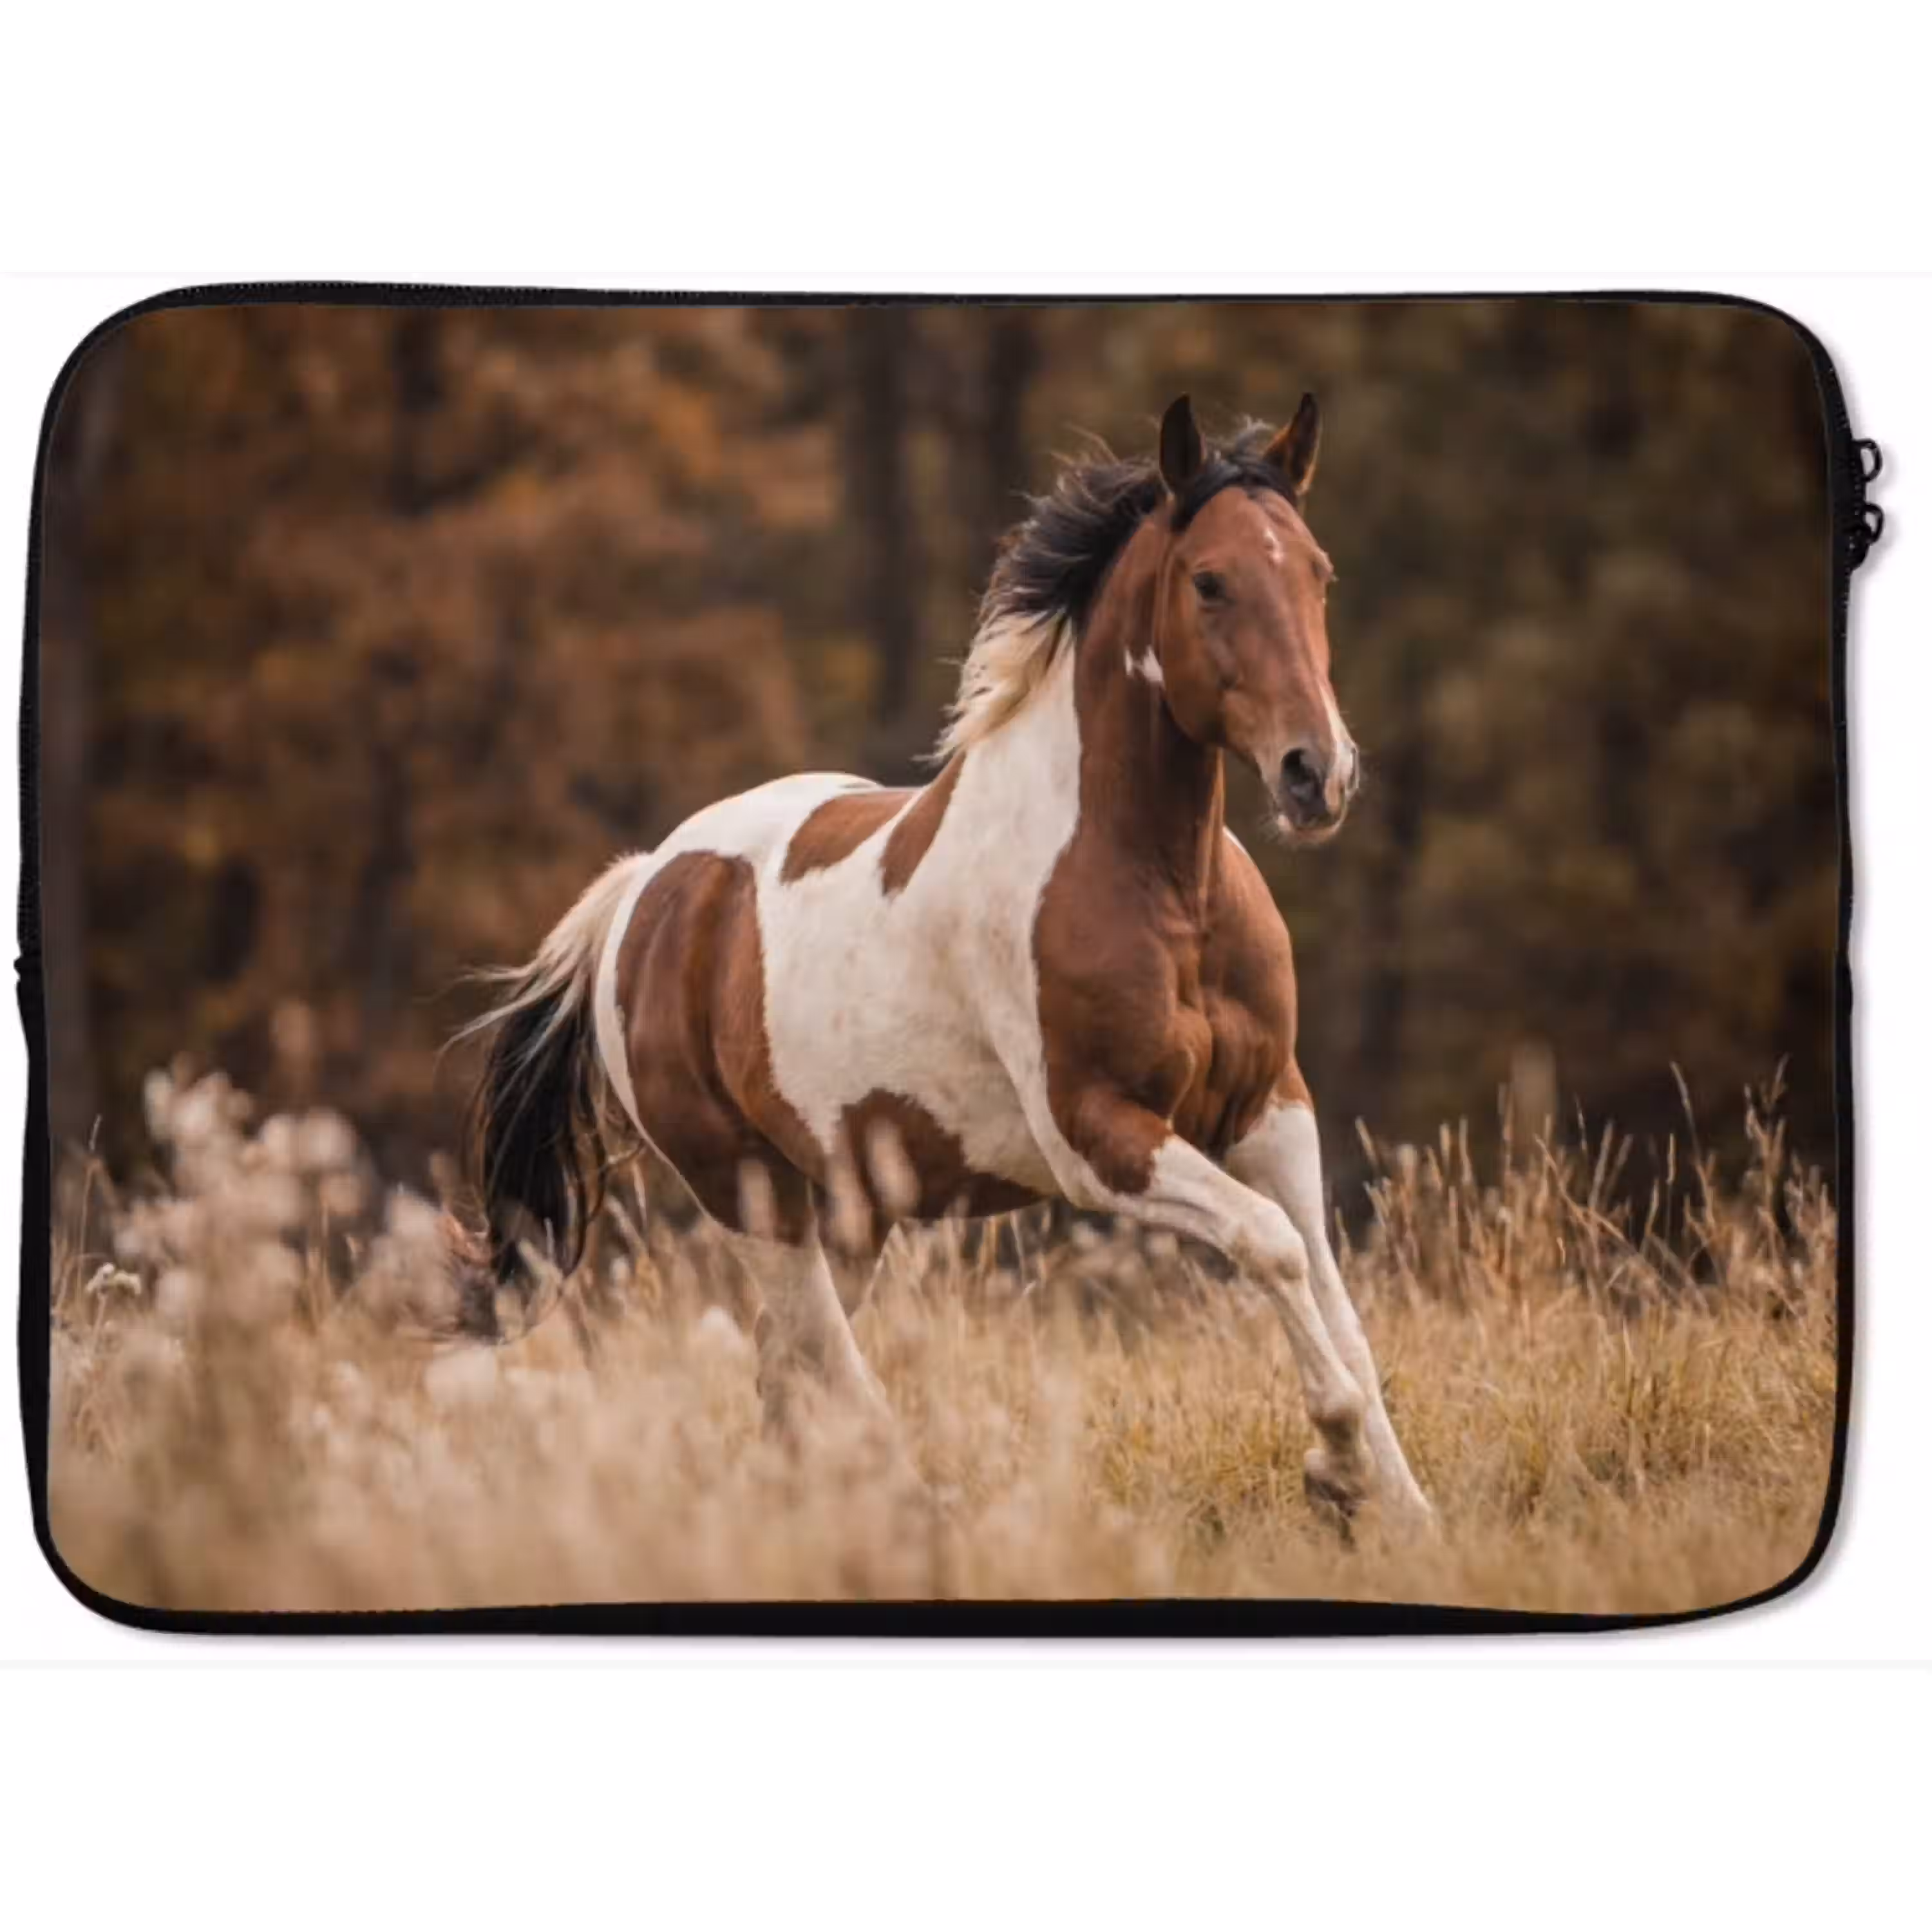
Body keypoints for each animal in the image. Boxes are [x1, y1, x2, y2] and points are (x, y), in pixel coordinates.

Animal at [450, 393, 1435, 1532]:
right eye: (1210, 581)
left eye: (1318, 572)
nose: (1318, 774)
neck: (1163, 891)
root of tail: (643, 890)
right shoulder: (1097, 1138)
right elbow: (1270, 1245)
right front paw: (1336, 1466)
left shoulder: (1271, 1109)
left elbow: (1327, 1289)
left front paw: (1404, 1508)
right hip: (750, 1193)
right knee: (825, 1373)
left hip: (849, 1211)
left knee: (790, 1380)